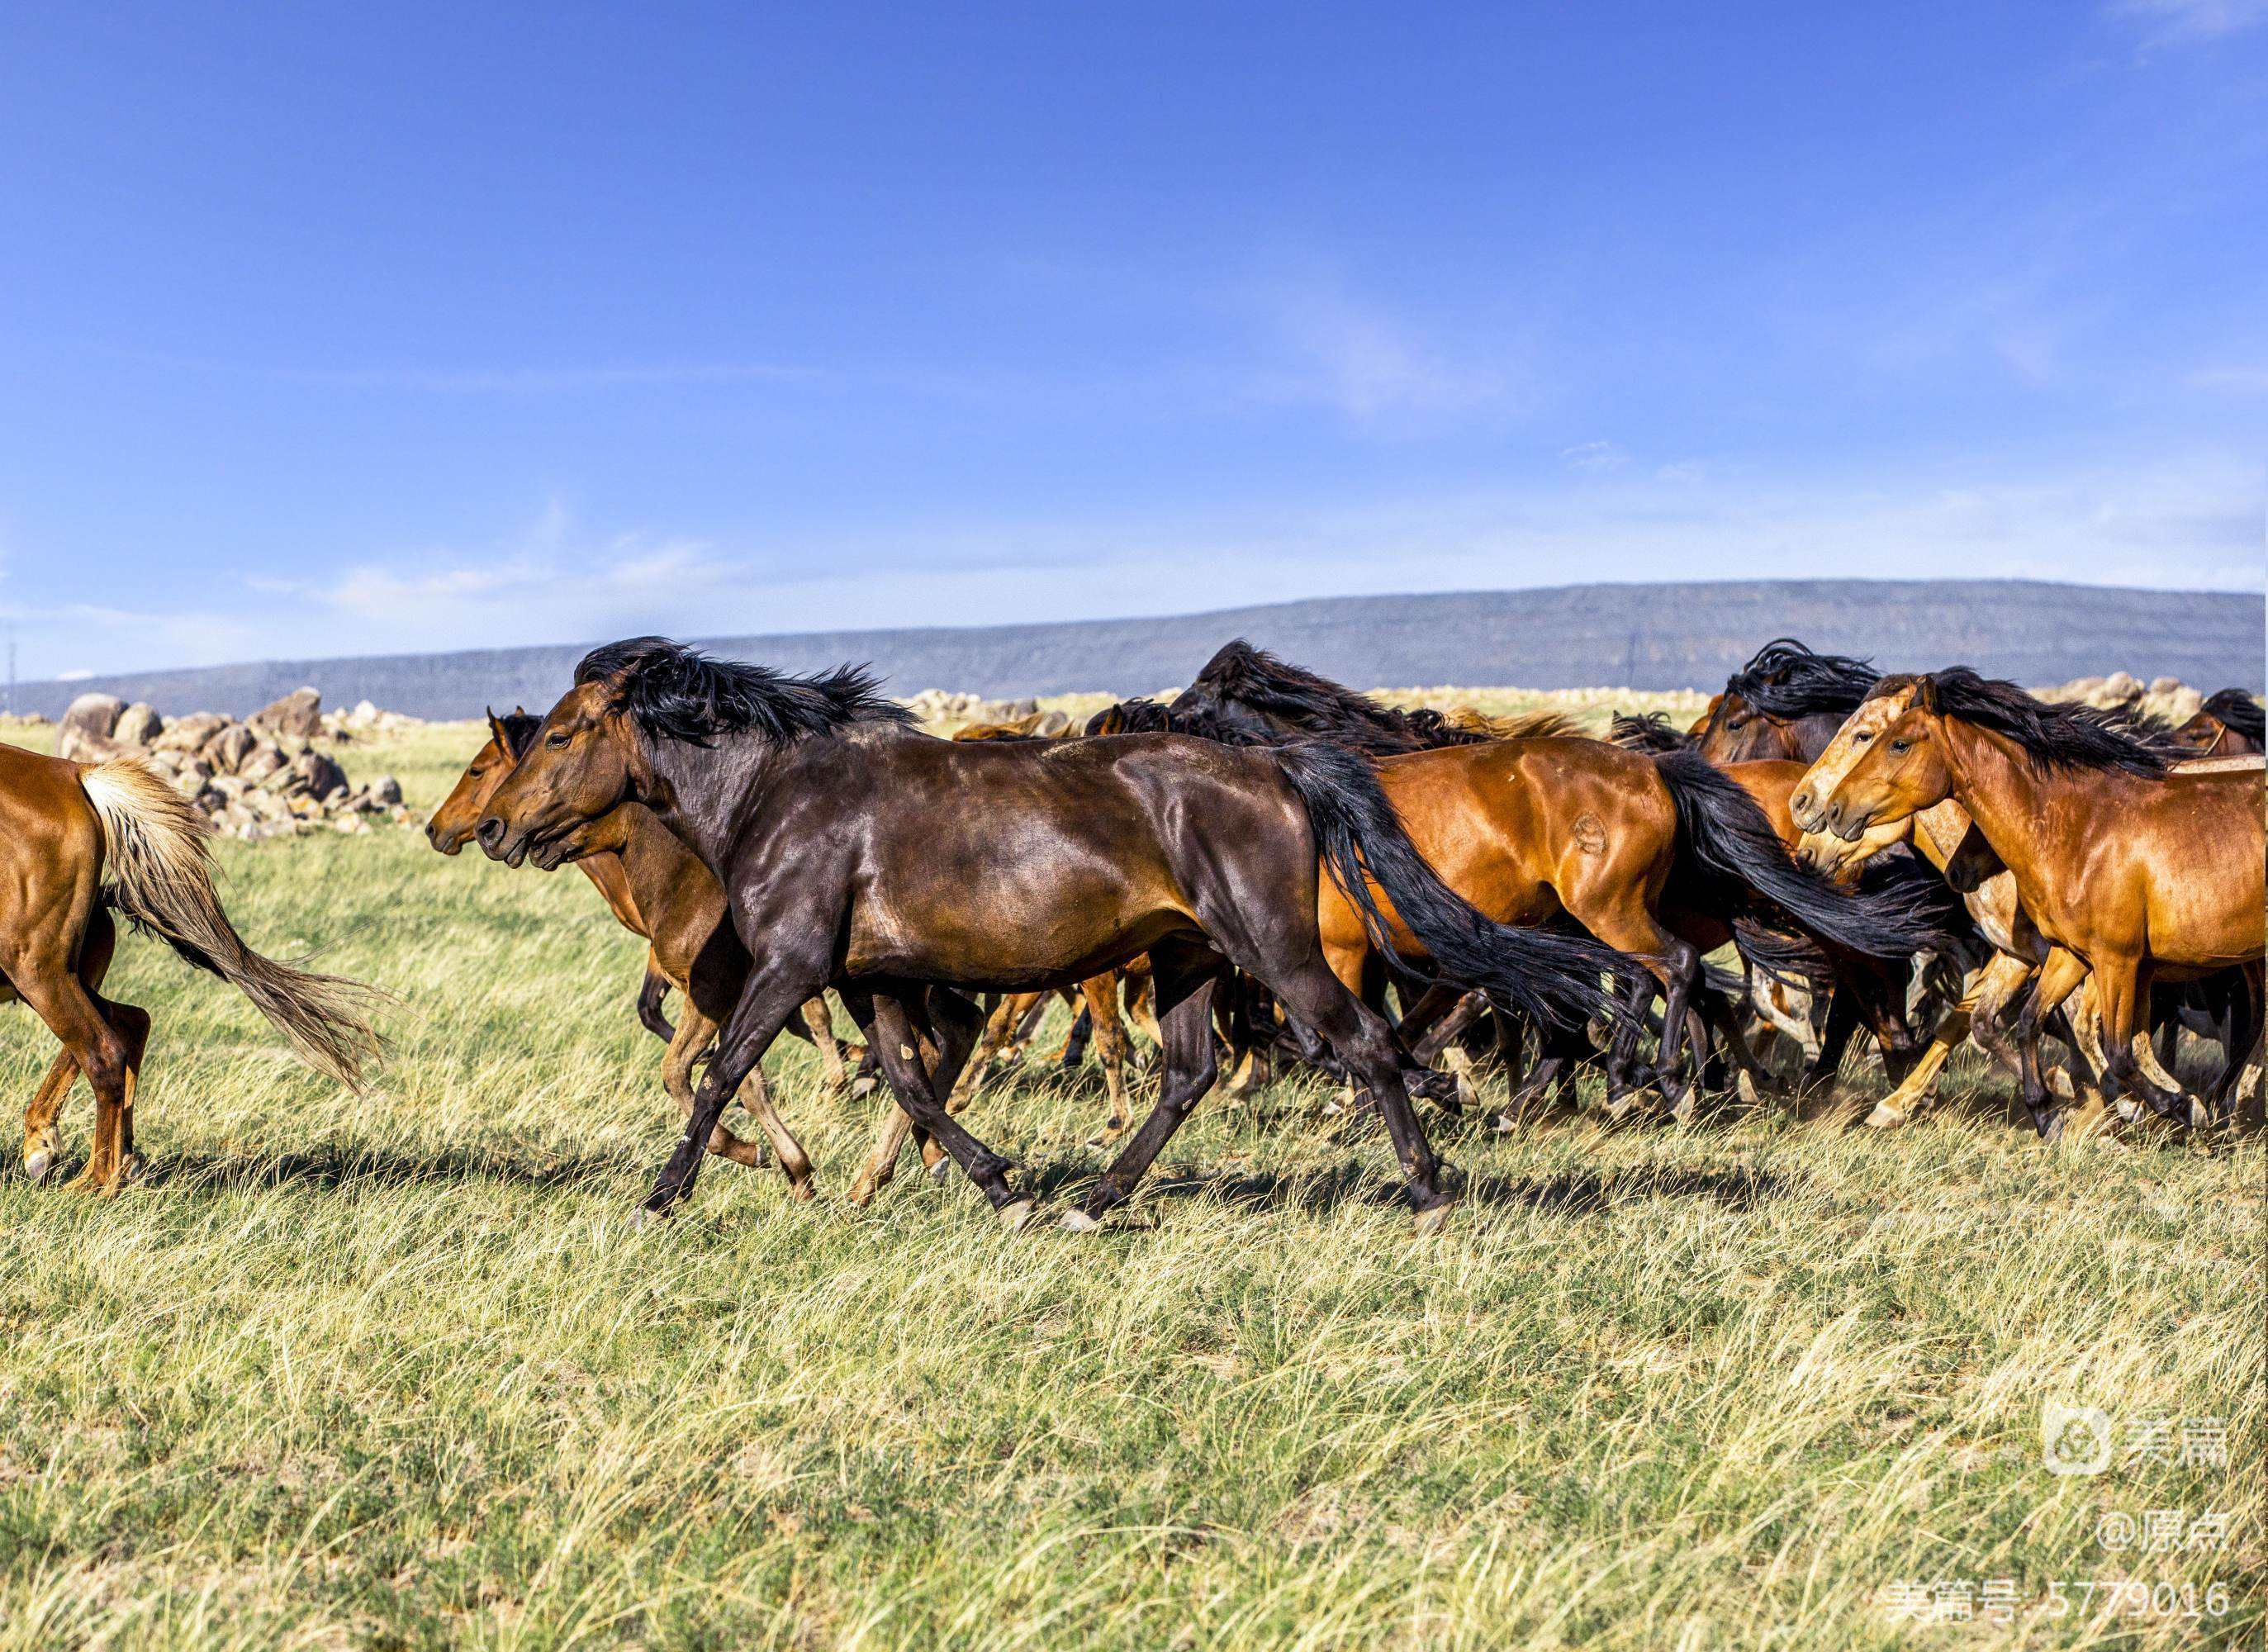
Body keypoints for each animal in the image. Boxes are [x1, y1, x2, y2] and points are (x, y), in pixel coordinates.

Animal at [2, 739, 383, 1189]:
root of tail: (74, 774)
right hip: (55, 977)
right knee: (130, 1022)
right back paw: (102, 1158)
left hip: (38, 972)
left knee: (103, 1051)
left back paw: (94, 1183)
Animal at [478, 639, 1642, 1234]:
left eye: (567, 733)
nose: (493, 827)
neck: (781, 792)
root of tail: (1278, 764)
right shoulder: (873, 976)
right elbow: (911, 1082)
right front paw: (1001, 1183)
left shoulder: (792, 966)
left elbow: (723, 1071)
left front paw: (663, 1194)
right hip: (1185, 958)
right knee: (1190, 1071)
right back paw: (1095, 1196)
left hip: (1272, 947)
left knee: (1359, 1042)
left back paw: (1429, 1186)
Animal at [1796, 672, 2259, 1134]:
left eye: (1869, 736)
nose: (1808, 814)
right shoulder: (2020, 954)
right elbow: (1976, 1020)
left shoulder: (2089, 958)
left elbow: (2088, 1029)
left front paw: (2112, 1101)